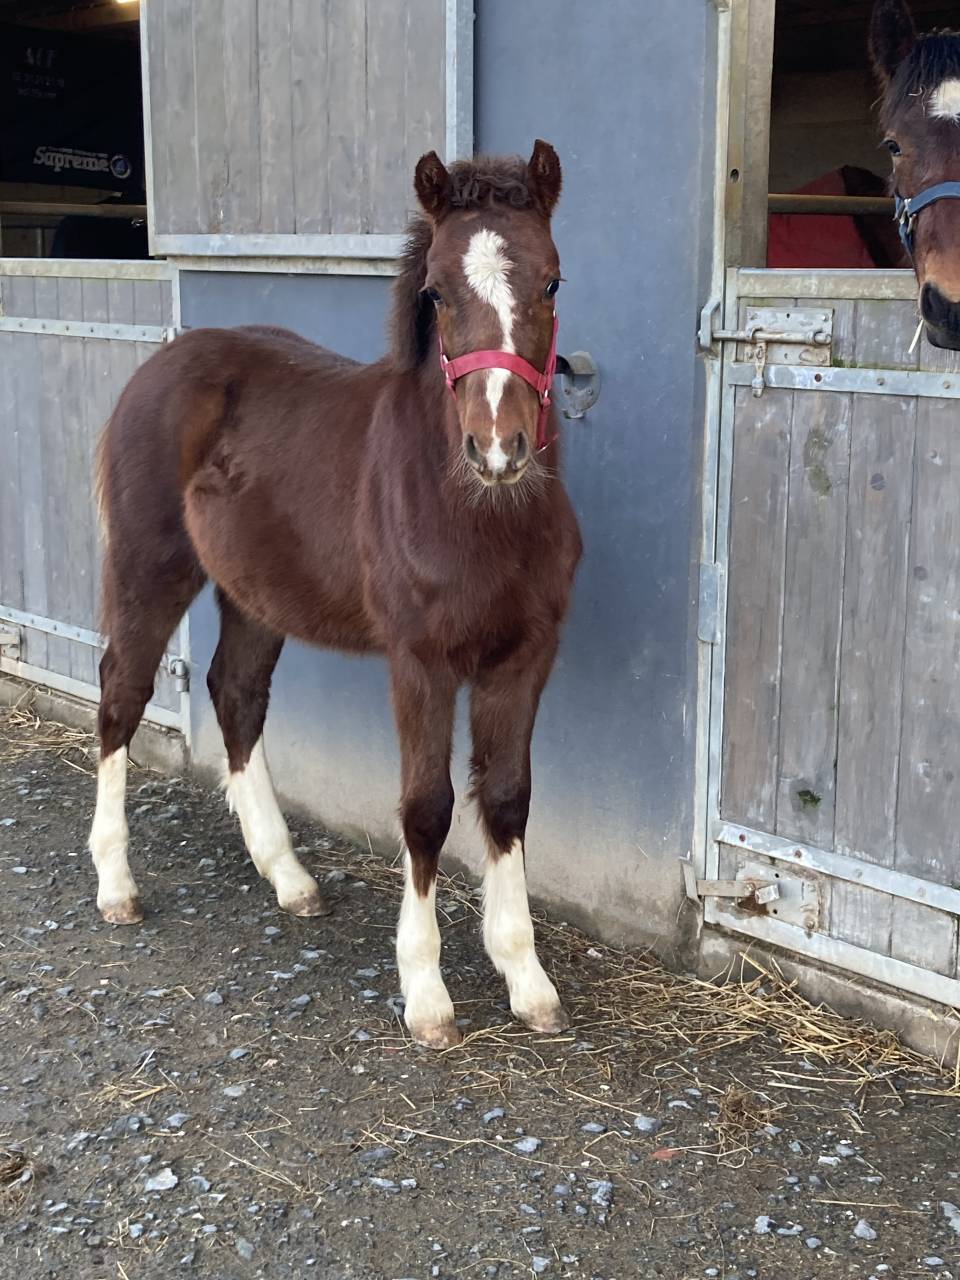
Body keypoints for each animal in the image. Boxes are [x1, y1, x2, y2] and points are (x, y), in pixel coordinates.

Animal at [88, 140, 583, 1050]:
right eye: (437, 290)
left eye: (553, 282)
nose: (498, 448)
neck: (478, 510)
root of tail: (165, 357)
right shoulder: (420, 661)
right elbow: (426, 809)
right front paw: (426, 994)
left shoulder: (526, 653)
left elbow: (505, 797)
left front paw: (526, 978)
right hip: (149, 566)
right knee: (121, 696)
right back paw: (117, 886)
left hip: (254, 593)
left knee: (236, 693)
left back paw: (288, 876)